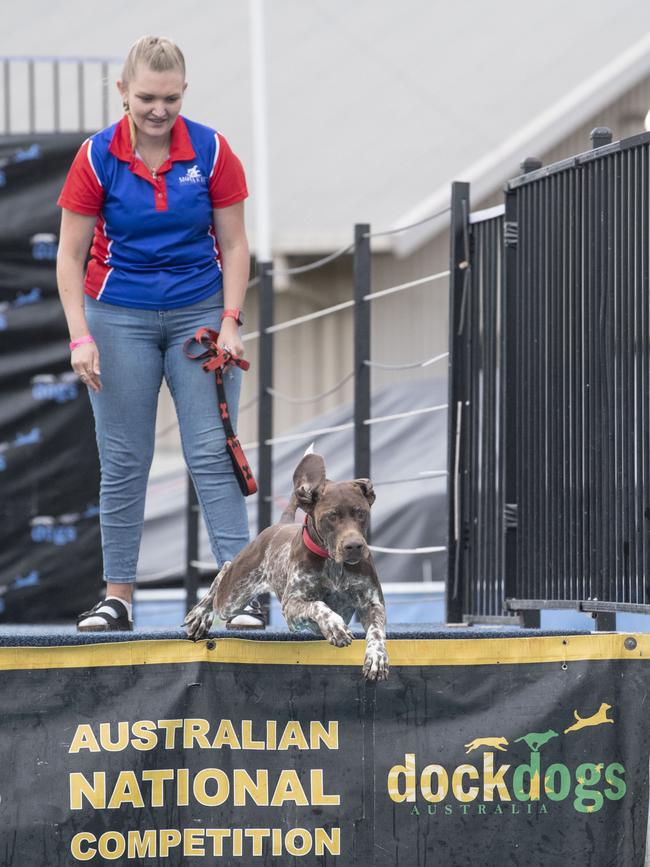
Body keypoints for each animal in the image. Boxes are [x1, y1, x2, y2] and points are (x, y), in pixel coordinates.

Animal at [182, 450, 388, 680]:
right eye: (331, 516)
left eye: (361, 513)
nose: (354, 546)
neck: (333, 564)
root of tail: (281, 524)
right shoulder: (291, 606)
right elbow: (318, 605)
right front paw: (334, 625)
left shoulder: (372, 603)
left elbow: (376, 630)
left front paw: (376, 657)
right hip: (232, 598)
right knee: (224, 571)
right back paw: (199, 615)